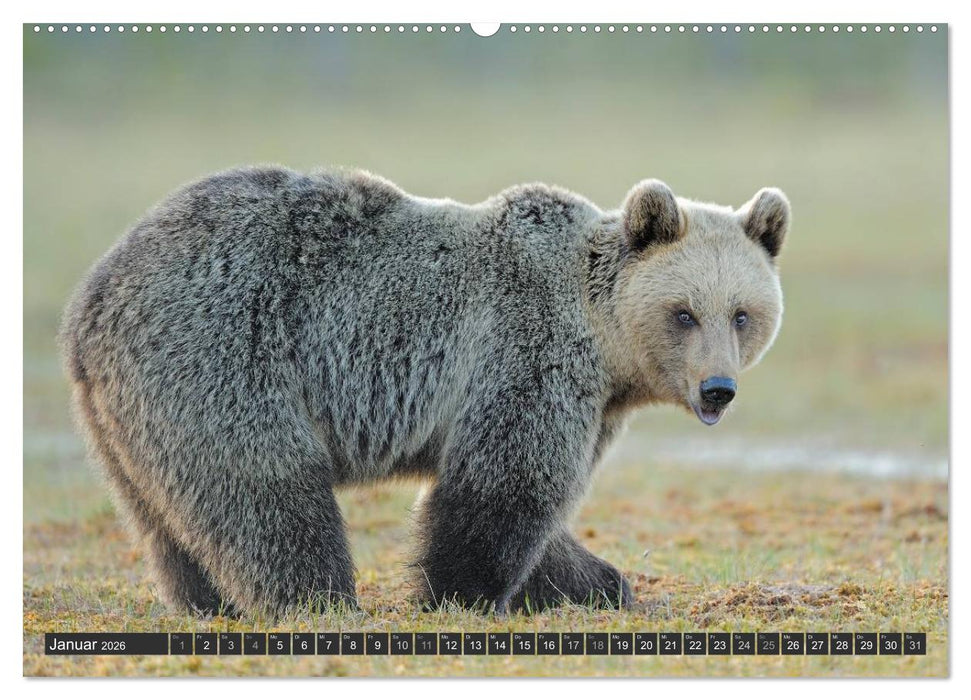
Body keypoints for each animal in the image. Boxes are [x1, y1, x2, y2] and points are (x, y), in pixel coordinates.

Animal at [60, 166, 789, 618]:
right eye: (684, 313)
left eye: (741, 314)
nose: (717, 389)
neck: (605, 345)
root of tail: (90, 298)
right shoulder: (526, 354)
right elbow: (503, 486)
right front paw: (462, 592)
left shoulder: (593, 402)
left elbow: (538, 506)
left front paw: (595, 580)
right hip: (223, 351)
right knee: (264, 490)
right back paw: (320, 599)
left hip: (127, 414)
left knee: (163, 514)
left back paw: (205, 600)